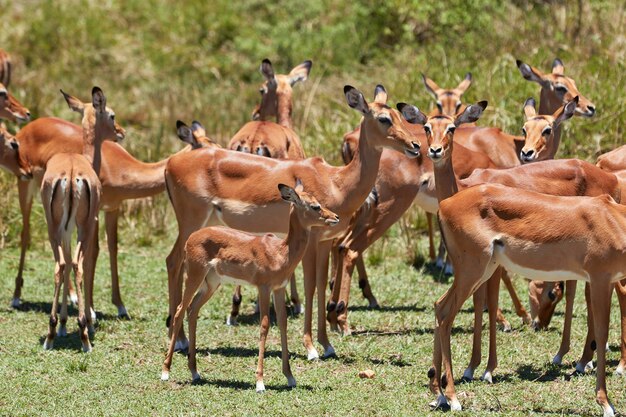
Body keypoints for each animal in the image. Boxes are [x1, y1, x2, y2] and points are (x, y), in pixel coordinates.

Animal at [161, 182, 336, 390]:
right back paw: (165, 371)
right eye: (315, 206)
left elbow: (283, 324)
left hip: (211, 284)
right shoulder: (264, 288)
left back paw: (195, 372)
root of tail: (192, 238)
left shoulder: (279, 288)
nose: (335, 217)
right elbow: (264, 325)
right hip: (195, 277)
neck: (280, 252)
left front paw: (290, 377)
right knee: (180, 310)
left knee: (192, 310)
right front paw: (260, 382)